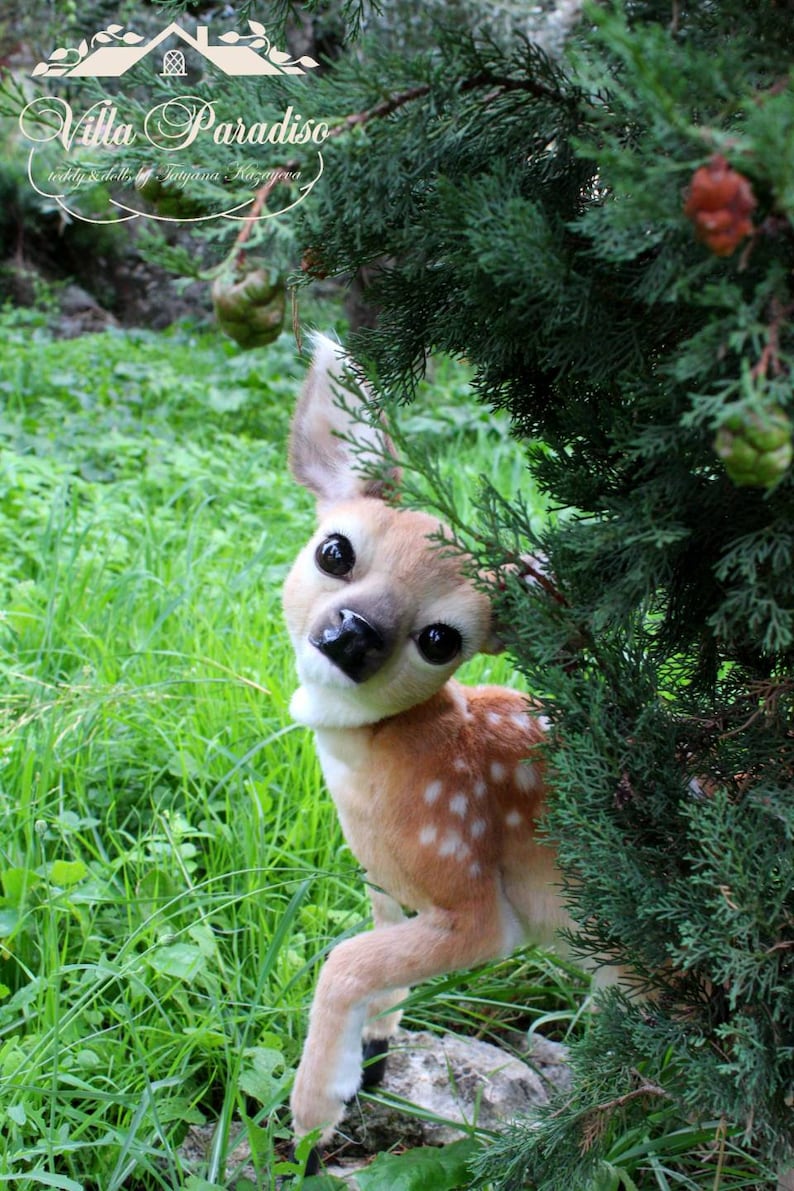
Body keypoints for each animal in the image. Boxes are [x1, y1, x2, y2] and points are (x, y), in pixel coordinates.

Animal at [281, 335, 586, 1171]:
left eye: (442, 638)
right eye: (335, 549)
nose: (353, 633)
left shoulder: (475, 897)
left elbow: (344, 960)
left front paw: (314, 1118)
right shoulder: (388, 887)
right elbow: (376, 970)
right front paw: (375, 1055)